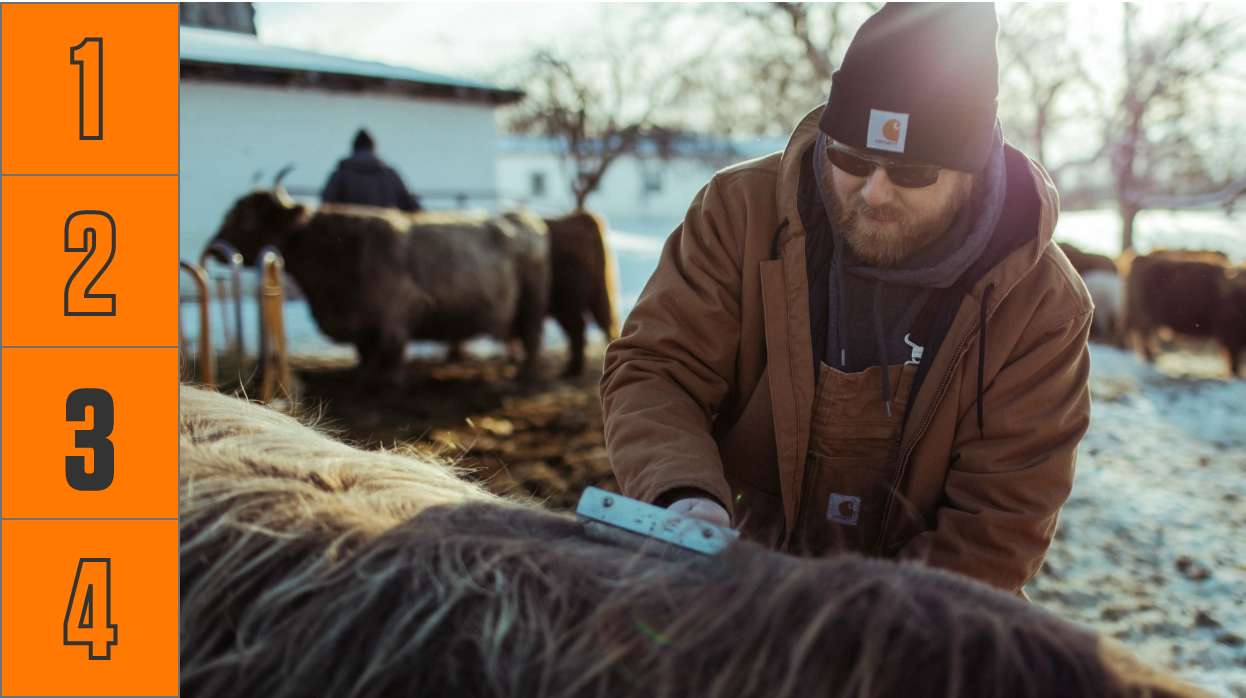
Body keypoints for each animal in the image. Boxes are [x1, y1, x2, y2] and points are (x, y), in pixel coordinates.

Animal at [209, 188, 550, 383]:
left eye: (247, 218)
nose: (213, 247)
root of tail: (526, 219)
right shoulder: (364, 323)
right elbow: (366, 353)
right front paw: (363, 377)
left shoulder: (397, 310)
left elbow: (391, 350)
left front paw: (389, 385)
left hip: (531, 305)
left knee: (533, 339)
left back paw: (526, 377)